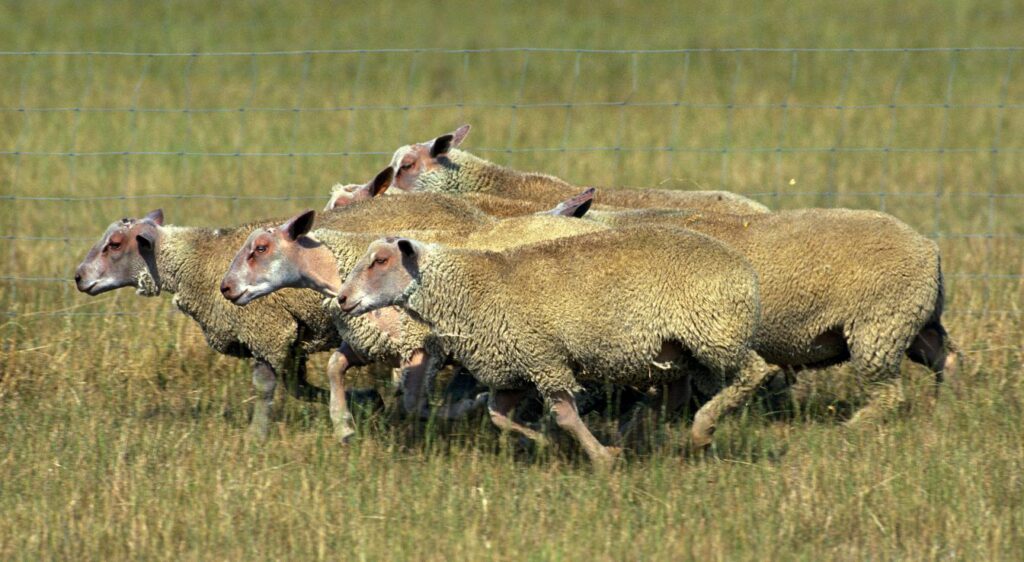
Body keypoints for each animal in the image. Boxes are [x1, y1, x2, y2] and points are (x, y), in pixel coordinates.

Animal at [72, 192, 516, 439]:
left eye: (114, 244)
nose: (77, 277)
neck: (197, 261)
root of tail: (478, 216)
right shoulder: (290, 338)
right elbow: (299, 387)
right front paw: (362, 402)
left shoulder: (268, 330)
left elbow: (268, 389)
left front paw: (256, 437)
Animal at [219, 197, 608, 442]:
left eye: (260, 249)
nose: (225, 287)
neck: (340, 272)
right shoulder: (371, 342)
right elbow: (334, 368)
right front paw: (345, 426)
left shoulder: (421, 346)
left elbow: (414, 404)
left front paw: (464, 408)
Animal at [336, 226, 779, 469]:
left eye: (380, 261)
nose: (341, 298)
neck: (469, 289)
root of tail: (746, 270)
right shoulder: (514, 367)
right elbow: (498, 415)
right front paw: (541, 442)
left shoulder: (545, 358)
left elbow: (565, 415)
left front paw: (599, 458)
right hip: (675, 352)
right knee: (675, 397)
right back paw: (637, 437)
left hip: (716, 332)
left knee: (754, 372)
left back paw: (701, 429)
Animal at [584, 207, 961, 429]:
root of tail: (929, 248)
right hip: (913, 324)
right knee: (945, 357)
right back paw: (946, 406)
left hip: (879, 327)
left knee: (889, 393)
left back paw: (853, 427)